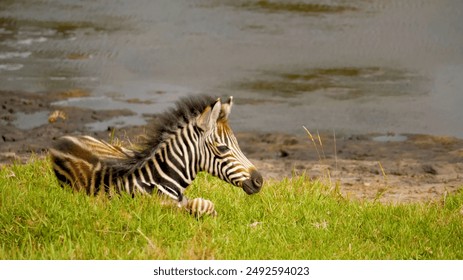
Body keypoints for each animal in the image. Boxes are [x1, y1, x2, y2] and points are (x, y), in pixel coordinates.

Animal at [49, 95, 264, 217]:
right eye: (223, 148)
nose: (259, 181)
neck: (163, 181)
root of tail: (58, 141)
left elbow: (206, 204)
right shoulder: (155, 208)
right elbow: (201, 205)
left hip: (117, 149)